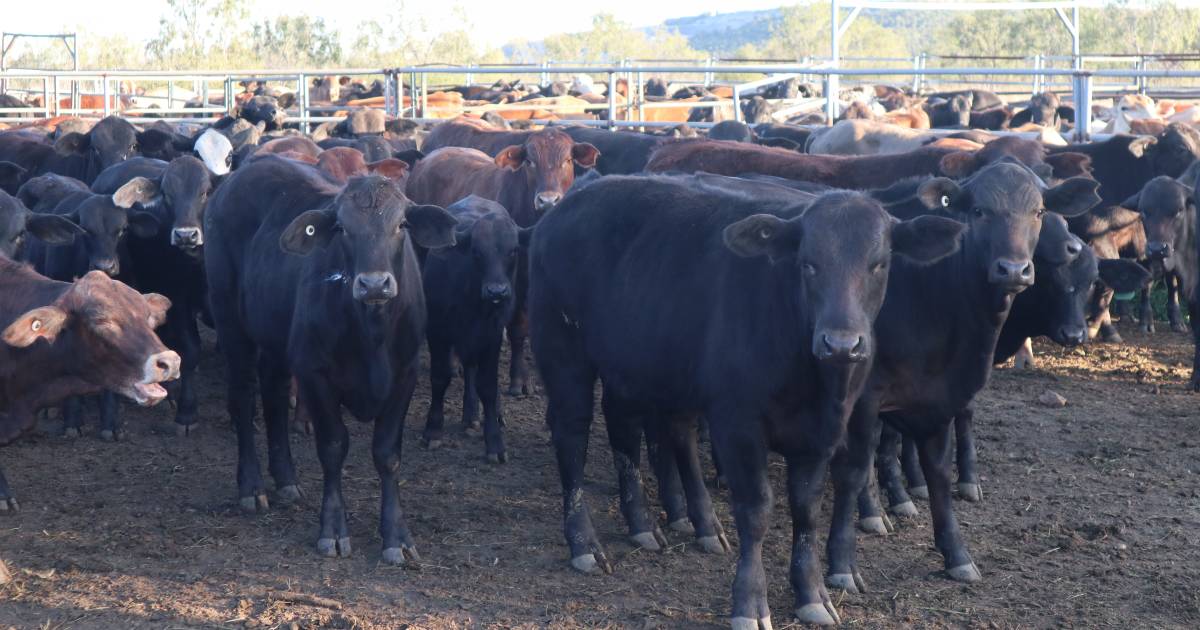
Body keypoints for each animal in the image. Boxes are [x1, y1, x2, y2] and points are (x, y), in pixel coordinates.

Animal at [204, 157, 456, 564]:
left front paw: (397, 537)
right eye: (342, 228)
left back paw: (286, 479)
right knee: (243, 397)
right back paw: (252, 487)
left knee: (274, 393)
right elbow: (334, 447)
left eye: (401, 224)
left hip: (274, 337)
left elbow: (387, 454)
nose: (374, 284)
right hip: (231, 322)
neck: (372, 334)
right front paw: (333, 530)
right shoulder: (314, 374)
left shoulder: (405, 376)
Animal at [424, 194, 532, 458]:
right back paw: (471, 414)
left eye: (513, 250)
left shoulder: (491, 335)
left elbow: (488, 387)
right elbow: (439, 377)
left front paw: (494, 442)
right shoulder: (437, 332)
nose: (497, 292)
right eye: (476, 252)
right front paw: (433, 430)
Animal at [528, 174, 964, 624]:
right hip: (562, 348)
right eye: (807, 263)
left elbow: (806, 509)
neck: (813, 382)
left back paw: (645, 525)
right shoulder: (738, 422)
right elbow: (756, 510)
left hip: (630, 363)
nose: (841, 343)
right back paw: (584, 544)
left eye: (879, 263)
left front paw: (811, 593)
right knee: (572, 435)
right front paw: (750, 602)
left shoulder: (823, 431)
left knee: (627, 429)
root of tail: (568, 202)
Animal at [820, 159, 1099, 602]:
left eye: (1039, 211)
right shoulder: (865, 395)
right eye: (979, 211)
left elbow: (937, 469)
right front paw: (849, 554)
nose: (1014, 269)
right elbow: (856, 467)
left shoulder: (941, 394)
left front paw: (955, 552)